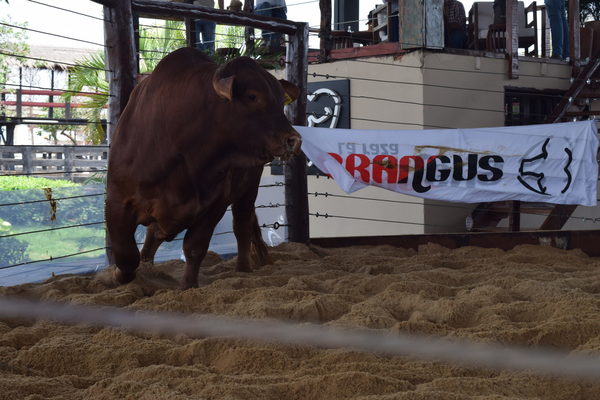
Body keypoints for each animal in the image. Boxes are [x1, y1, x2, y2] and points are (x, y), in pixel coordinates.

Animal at [106, 48, 302, 290]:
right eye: (252, 96)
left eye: (280, 99)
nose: (293, 140)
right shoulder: (117, 200)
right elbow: (126, 254)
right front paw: (117, 276)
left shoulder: (215, 204)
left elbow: (195, 247)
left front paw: (188, 285)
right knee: (153, 236)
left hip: (248, 190)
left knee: (242, 226)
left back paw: (243, 268)